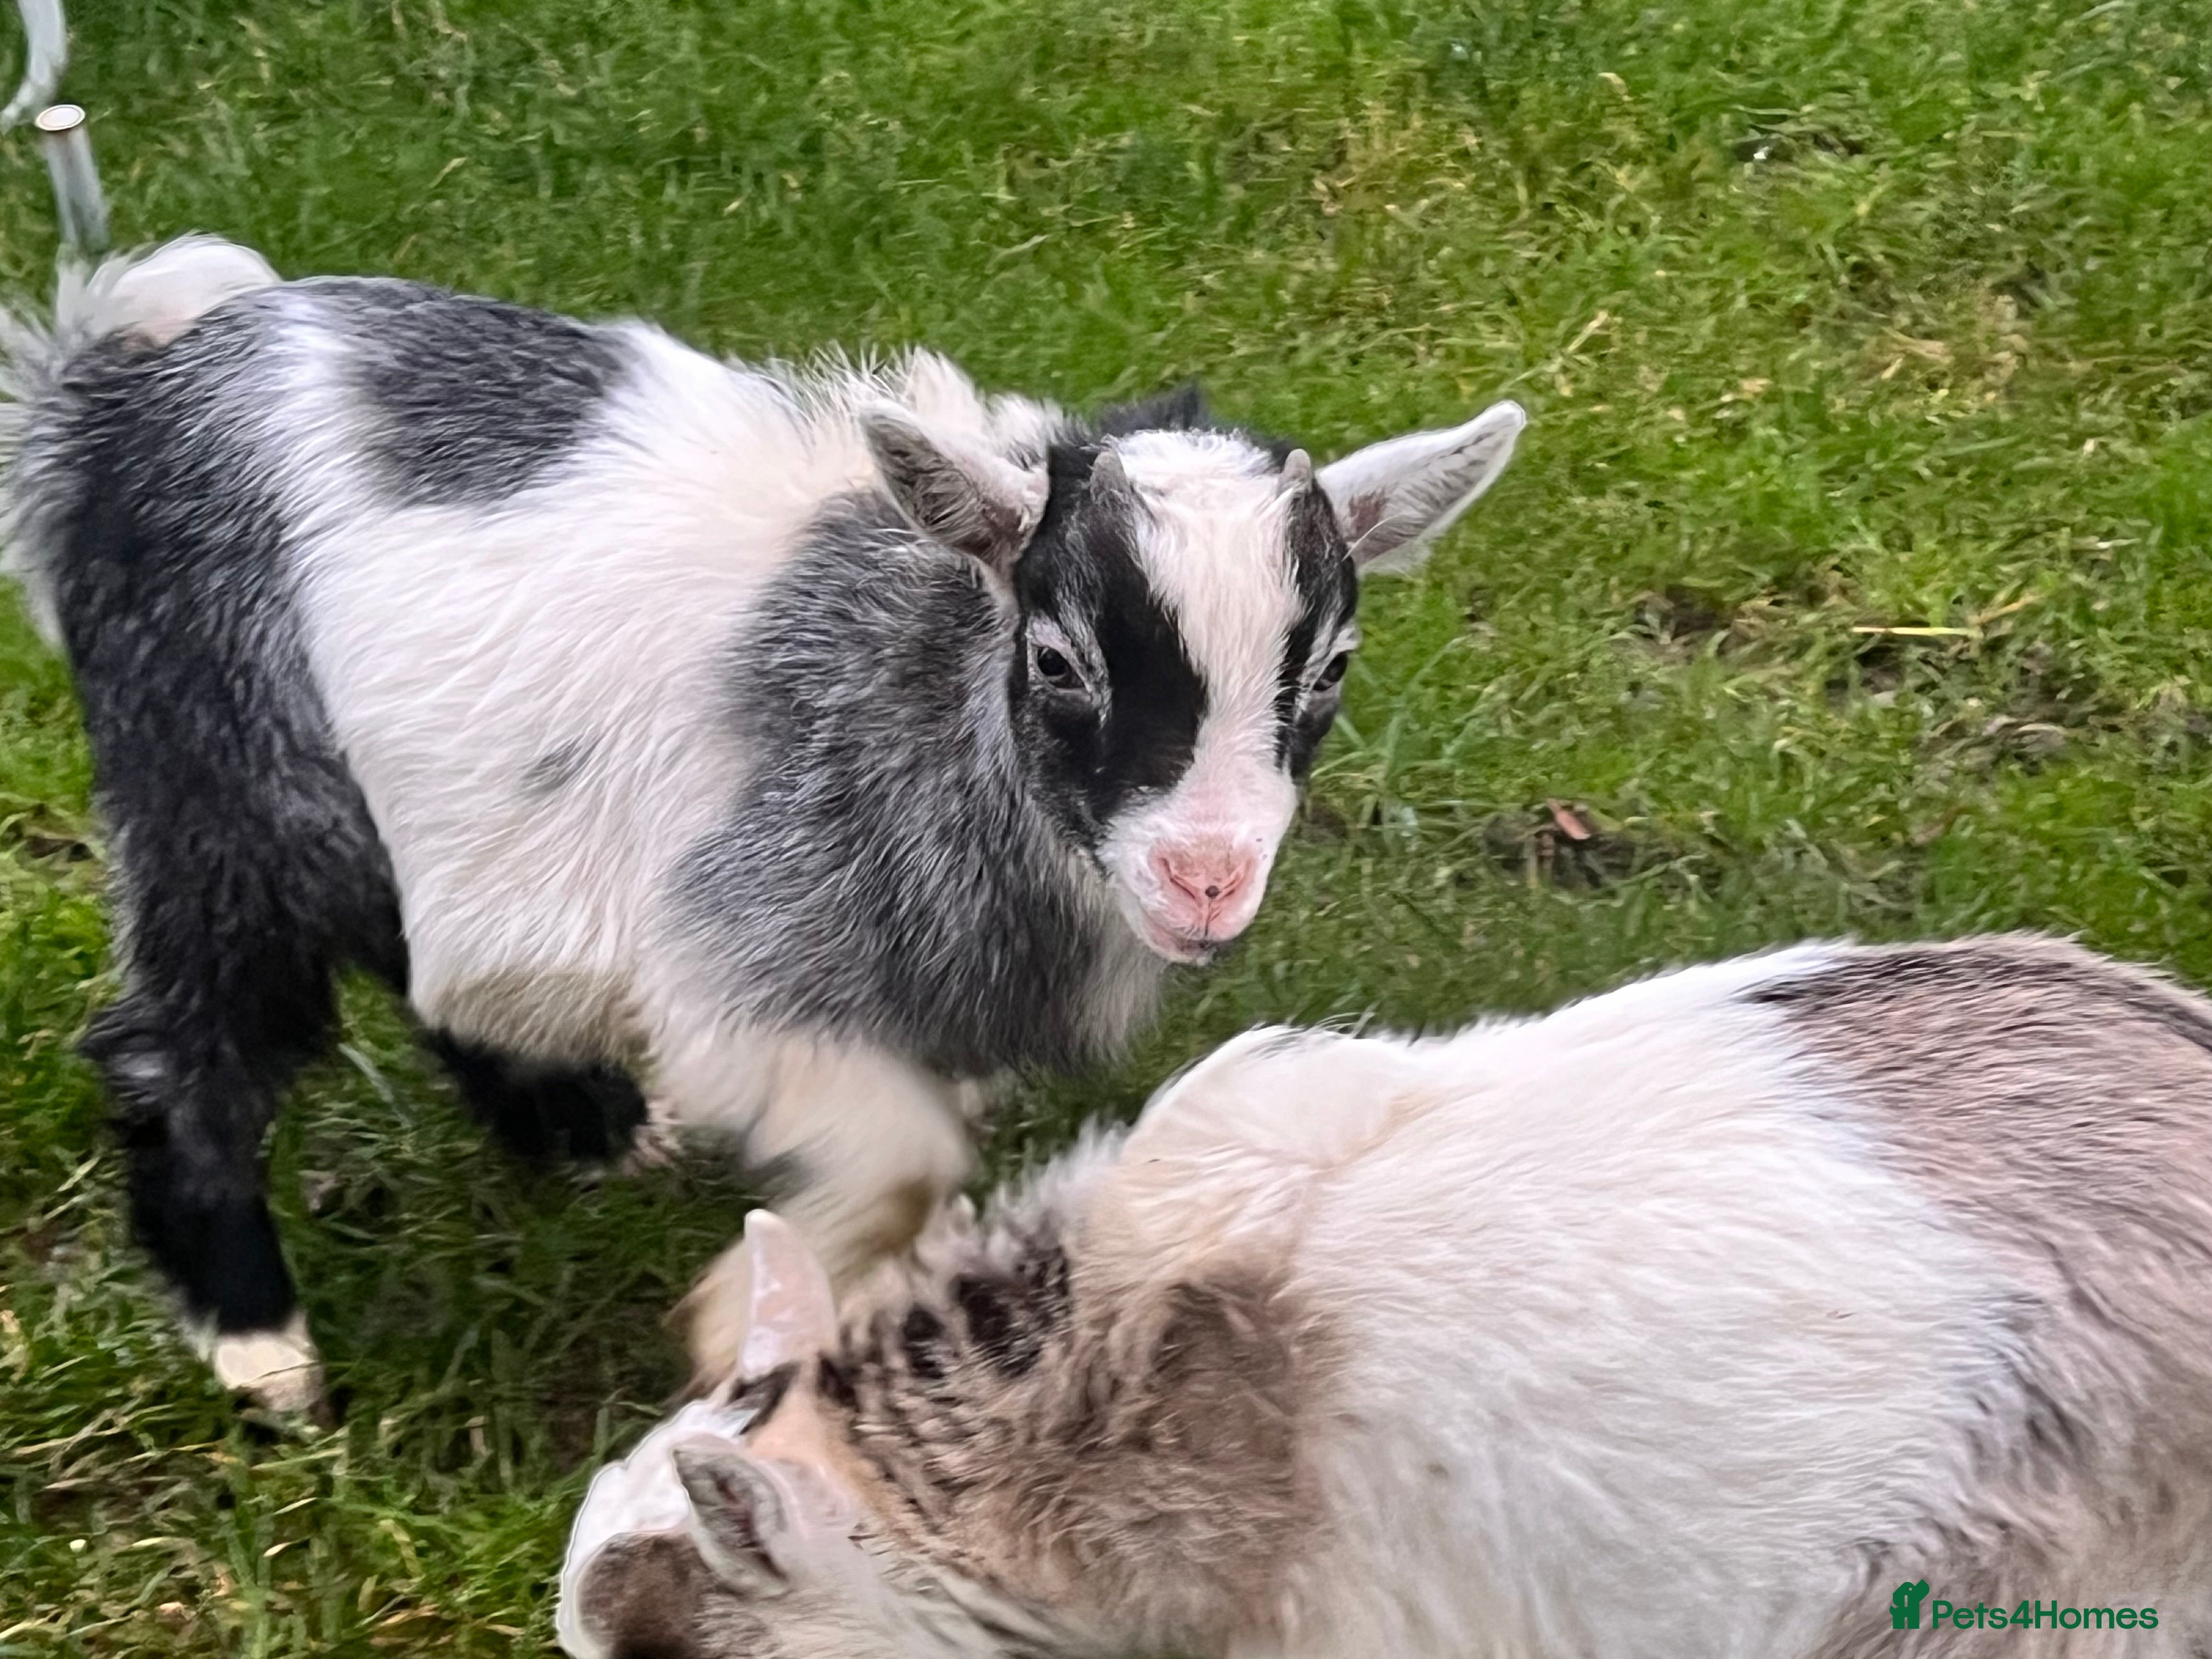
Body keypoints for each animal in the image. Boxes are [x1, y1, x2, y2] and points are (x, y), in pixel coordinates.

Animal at [0, 236, 1525, 1410]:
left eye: (1327, 671)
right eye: (1058, 662)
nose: (1207, 878)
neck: (922, 674)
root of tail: (104, 406)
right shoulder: (743, 959)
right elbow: (906, 1160)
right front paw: (741, 1320)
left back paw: (582, 1127)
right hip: (225, 777)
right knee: (183, 1039)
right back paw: (262, 1352)